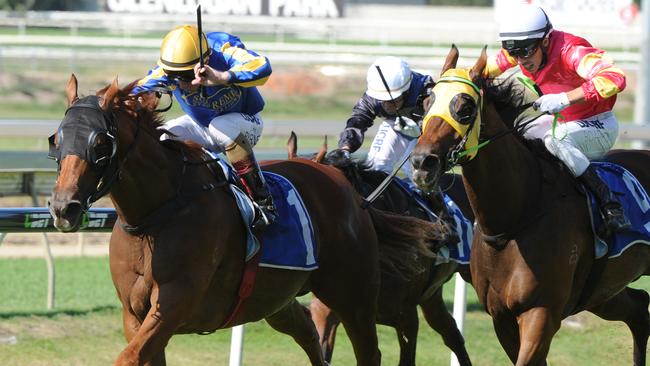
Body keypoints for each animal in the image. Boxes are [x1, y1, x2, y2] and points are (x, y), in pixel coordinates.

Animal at [48, 75, 438, 366]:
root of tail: (347, 187)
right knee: (308, 332)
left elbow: (130, 357)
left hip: (353, 293)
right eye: (56, 139)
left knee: (370, 350)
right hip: (276, 298)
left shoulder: (175, 303)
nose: (63, 207)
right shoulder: (134, 313)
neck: (155, 217)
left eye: (101, 142)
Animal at [410, 44, 648, 364]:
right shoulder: (502, 317)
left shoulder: (541, 313)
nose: (422, 163)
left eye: (465, 108)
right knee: (639, 308)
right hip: (603, 291)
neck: (517, 215)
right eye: (426, 104)